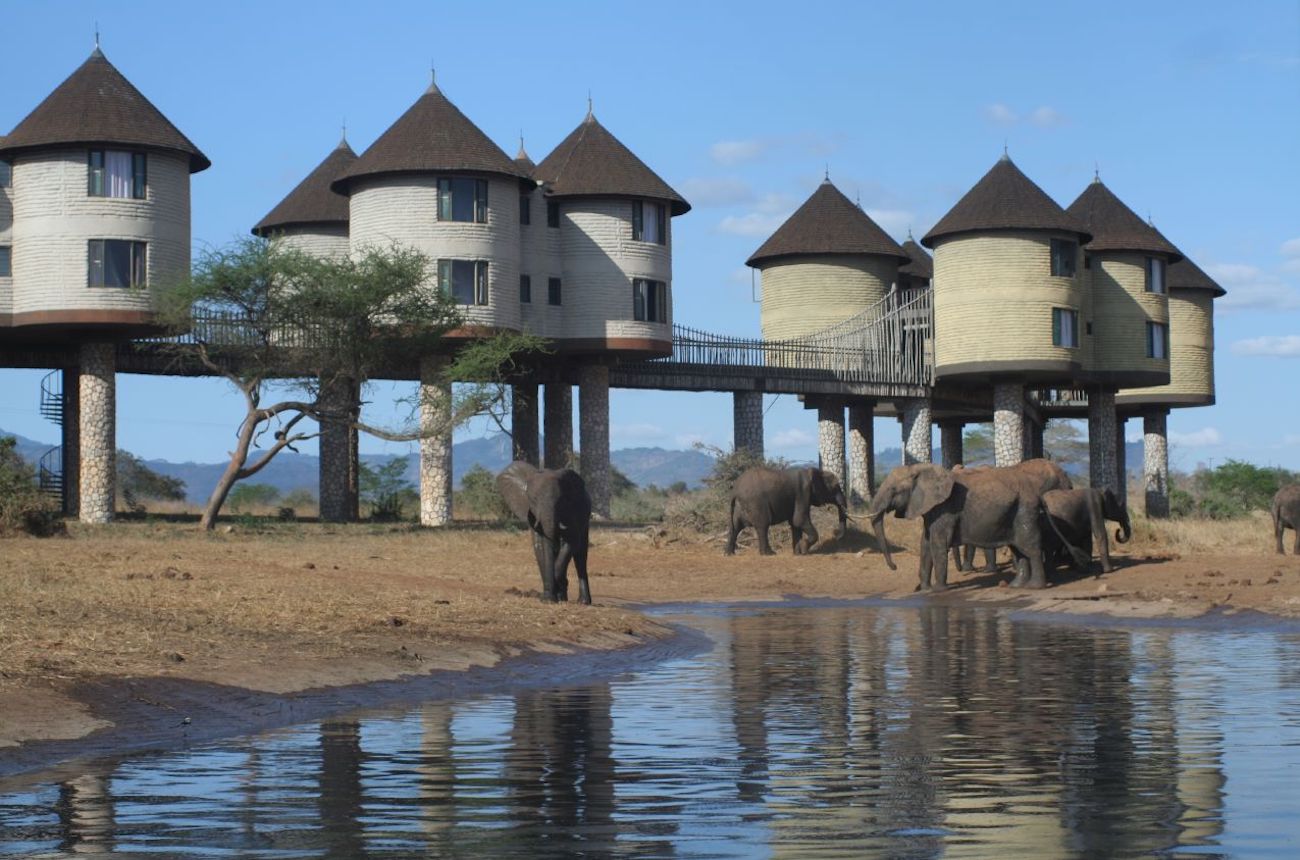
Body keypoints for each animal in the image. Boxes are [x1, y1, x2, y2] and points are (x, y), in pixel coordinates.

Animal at [496, 465, 595, 605]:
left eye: (560, 501)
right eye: (533, 500)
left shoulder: (573, 511)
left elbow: (571, 542)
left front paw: (556, 588)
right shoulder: (532, 515)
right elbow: (540, 546)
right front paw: (548, 599)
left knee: (580, 556)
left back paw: (582, 601)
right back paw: (563, 597)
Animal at [873, 465, 1086, 592]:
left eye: (893, 490)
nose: (894, 567)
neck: (923, 469)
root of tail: (1040, 497)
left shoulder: (946, 509)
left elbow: (938, 544)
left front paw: (939, 591)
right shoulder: (932, 509)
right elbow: (925, 544)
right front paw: (926, 590)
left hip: (1025, 511)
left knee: (1030, 547)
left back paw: (1035, 588)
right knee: (1019, 549)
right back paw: (1016, 586)